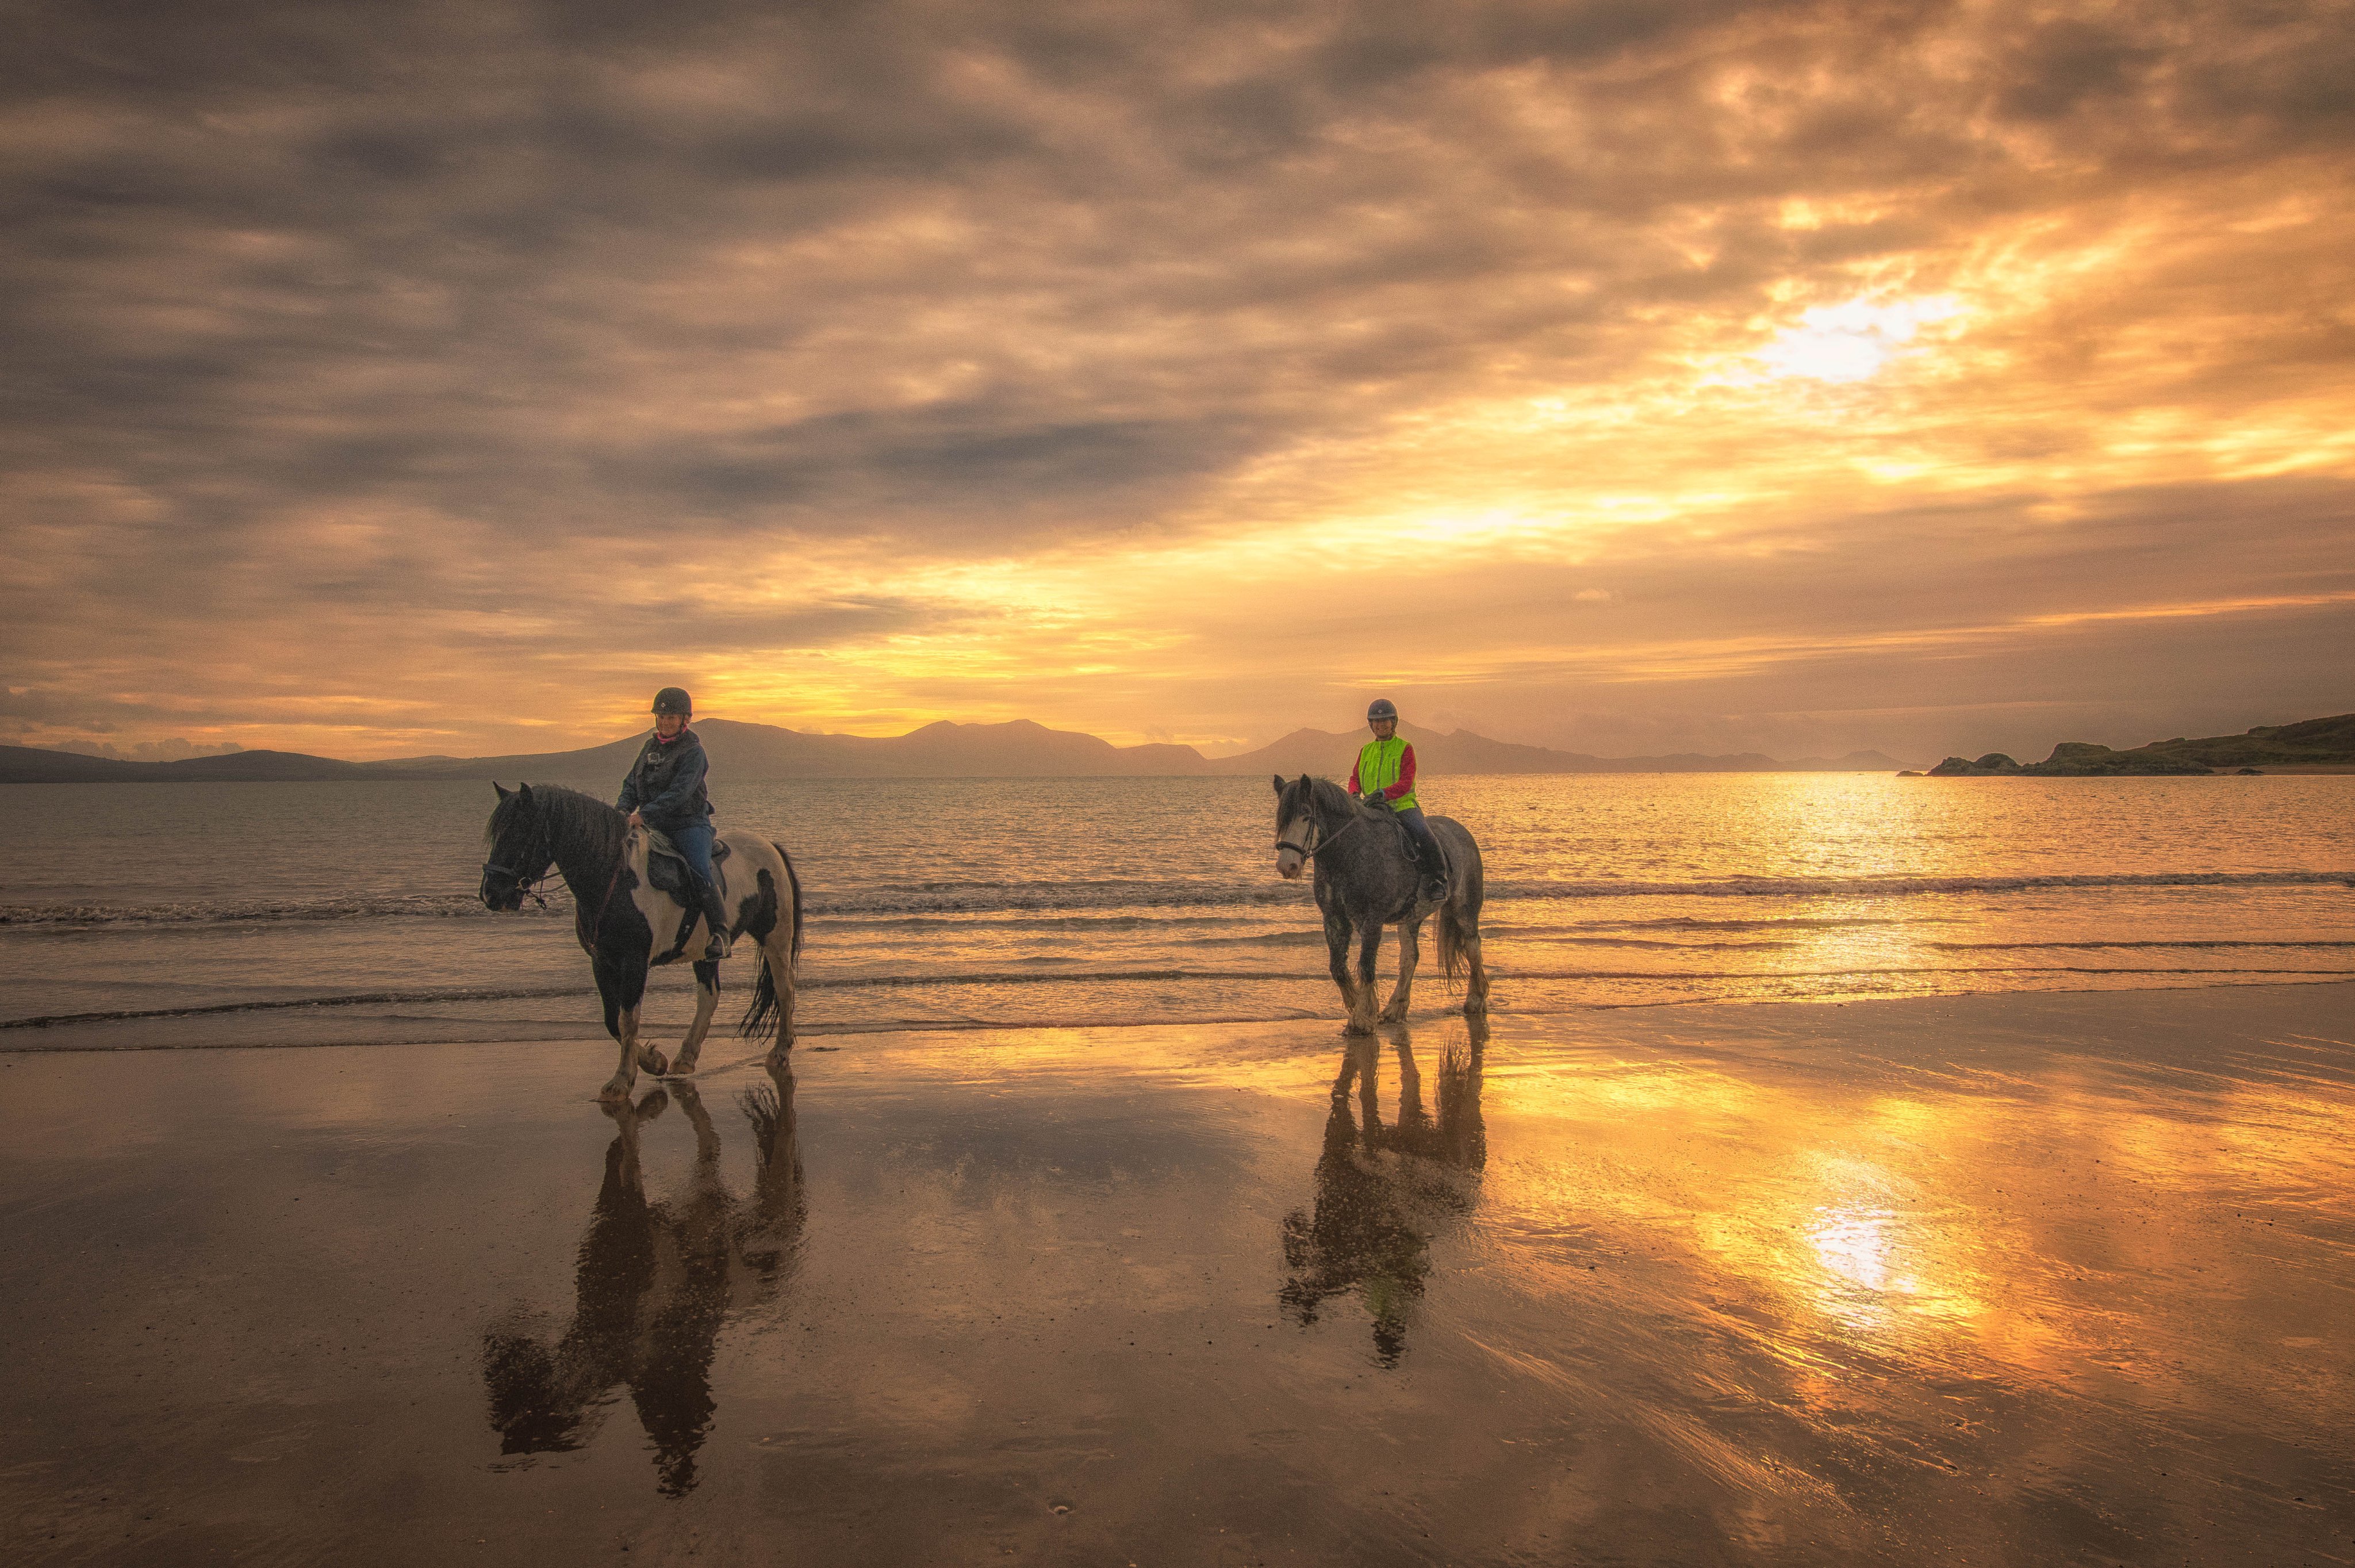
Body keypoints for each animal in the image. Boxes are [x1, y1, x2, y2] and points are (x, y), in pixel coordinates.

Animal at [482, 781, 805, 1097]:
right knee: (709, 996)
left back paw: (780, 1051)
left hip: (775, 936)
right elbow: (612, 1021)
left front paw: (622, 1079)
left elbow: (628, 1020)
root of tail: (770, 847)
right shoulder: (602, 962)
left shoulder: (634, 962)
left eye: (520, 833)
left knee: (784, 986)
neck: (616, 881)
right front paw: (654, 1061)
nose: (490, 895)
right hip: (706, 951)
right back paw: (685, 1057)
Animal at [1271, 767, 1488, 1026]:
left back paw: (1476, 1000)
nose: (1287, 866)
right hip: (1410, 918)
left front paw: (1362, 1019)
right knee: (1410, 957)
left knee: (1473, 947)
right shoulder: (1333, 918)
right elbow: (1338, 968)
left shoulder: (1372, 920)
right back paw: (1396, 1008)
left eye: (1306, 816)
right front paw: (1359, 1006)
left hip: (1465, 909)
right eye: (1281, 820)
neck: (1350, 853)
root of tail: (1462, 832)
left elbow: (1366, 967)